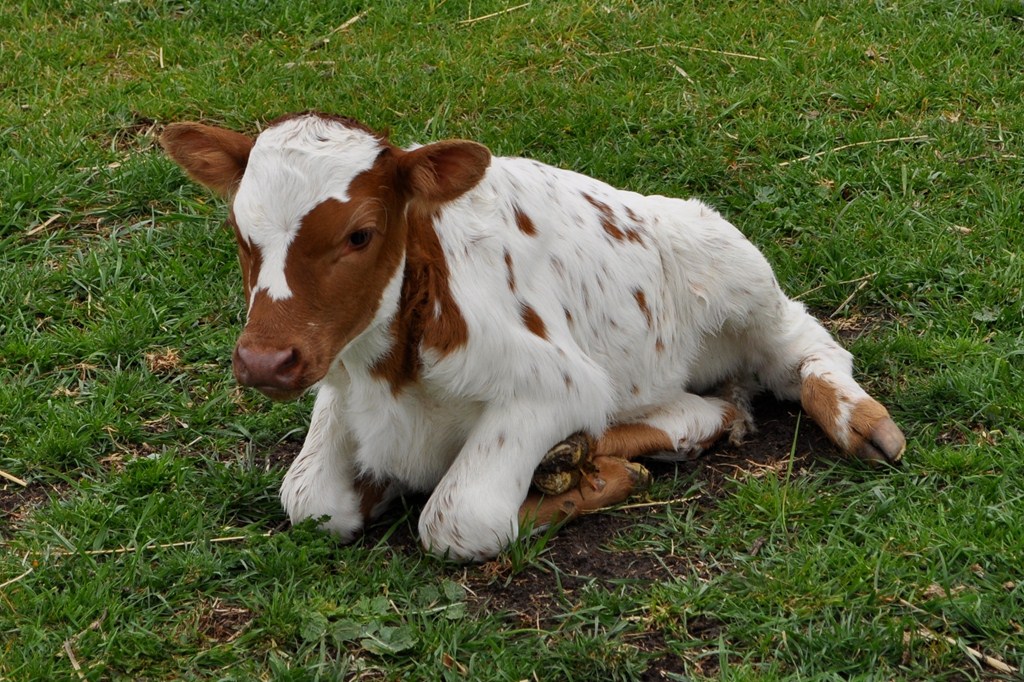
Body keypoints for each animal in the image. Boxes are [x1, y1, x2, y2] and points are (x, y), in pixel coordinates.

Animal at [160, 112, 905, 561]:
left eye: (361, 234)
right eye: (239, 232)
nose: (264, 362)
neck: (392, 373)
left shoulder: (554, 382)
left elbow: (459, 518)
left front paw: (578, 486)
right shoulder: (338, 384)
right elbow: (310, 500)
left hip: (737, 275)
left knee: (803, 347)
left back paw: (861, 422)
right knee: (715, 406)